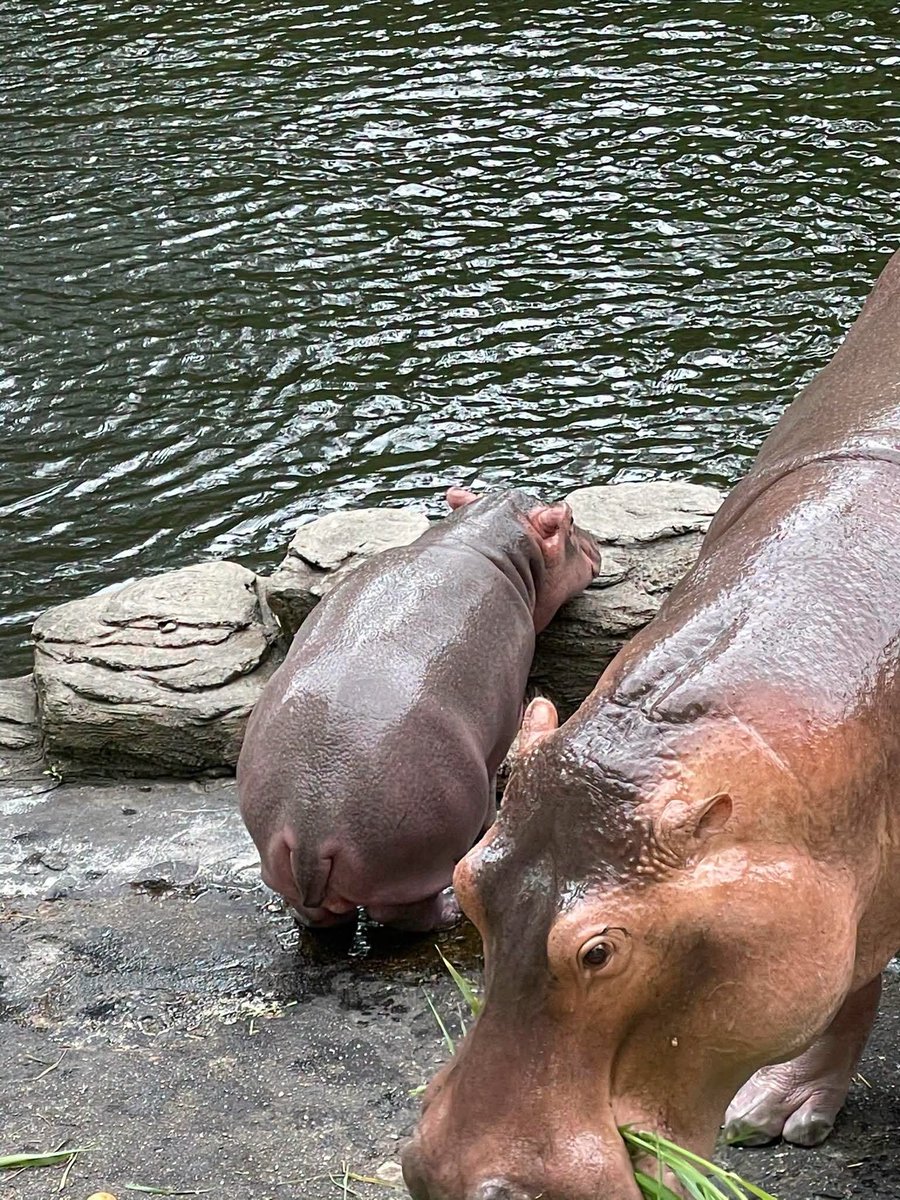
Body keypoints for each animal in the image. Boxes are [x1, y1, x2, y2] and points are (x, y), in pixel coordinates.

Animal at [237, 487, 600, 932]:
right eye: (569, 520)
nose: (596, 543)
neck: (476, 539)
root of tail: (309, 826)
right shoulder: (507, 714)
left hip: (281, 863)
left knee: (315, 913)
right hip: (417, 859)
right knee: (405, 914)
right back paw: (451, 911)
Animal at [403, 249, 900, 1199]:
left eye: (599, 951)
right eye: (468, 880)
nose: (447, 1180)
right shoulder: (854, 882)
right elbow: (853, 974)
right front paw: (779, 1111)